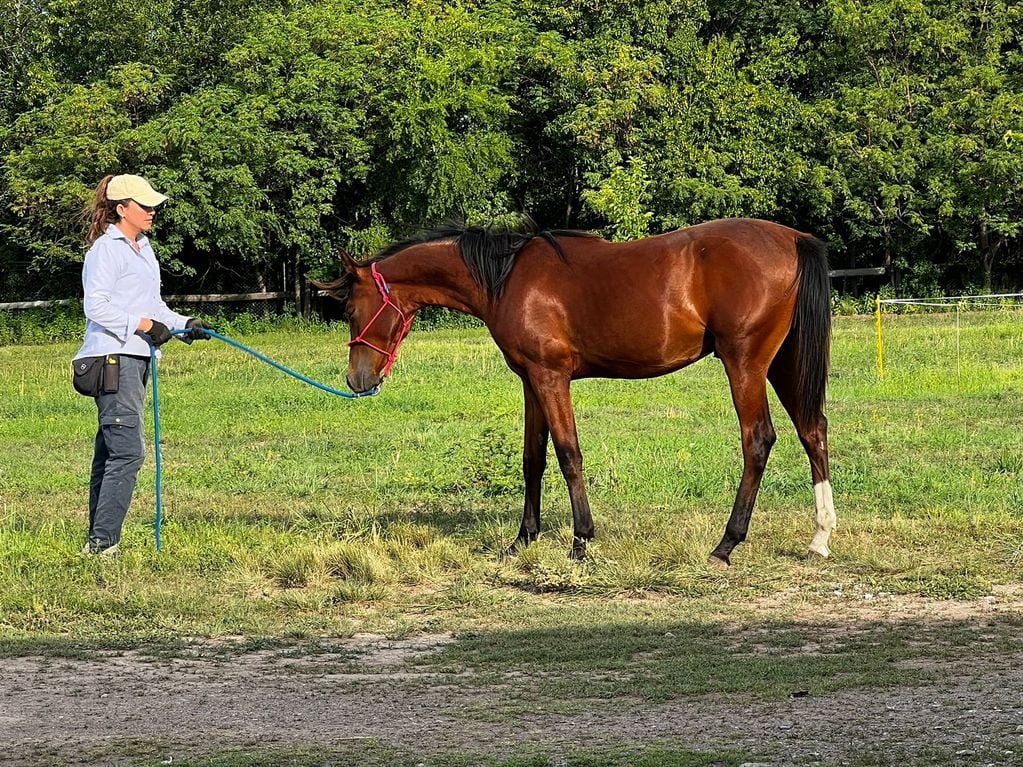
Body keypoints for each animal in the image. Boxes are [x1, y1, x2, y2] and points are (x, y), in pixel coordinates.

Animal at [313, 218, 830, 568]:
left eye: (353, 310)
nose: (357, 380)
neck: (507, 279)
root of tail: (791, 239)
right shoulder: (530, 381)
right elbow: (533, 458)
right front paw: (523, 539)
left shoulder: (551, 377)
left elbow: (568, 454)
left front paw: (581, 541)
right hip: (783, 364)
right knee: (813, 431)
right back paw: (821, 537)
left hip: (745, 364)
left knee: (758, 440)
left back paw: (726, 544)